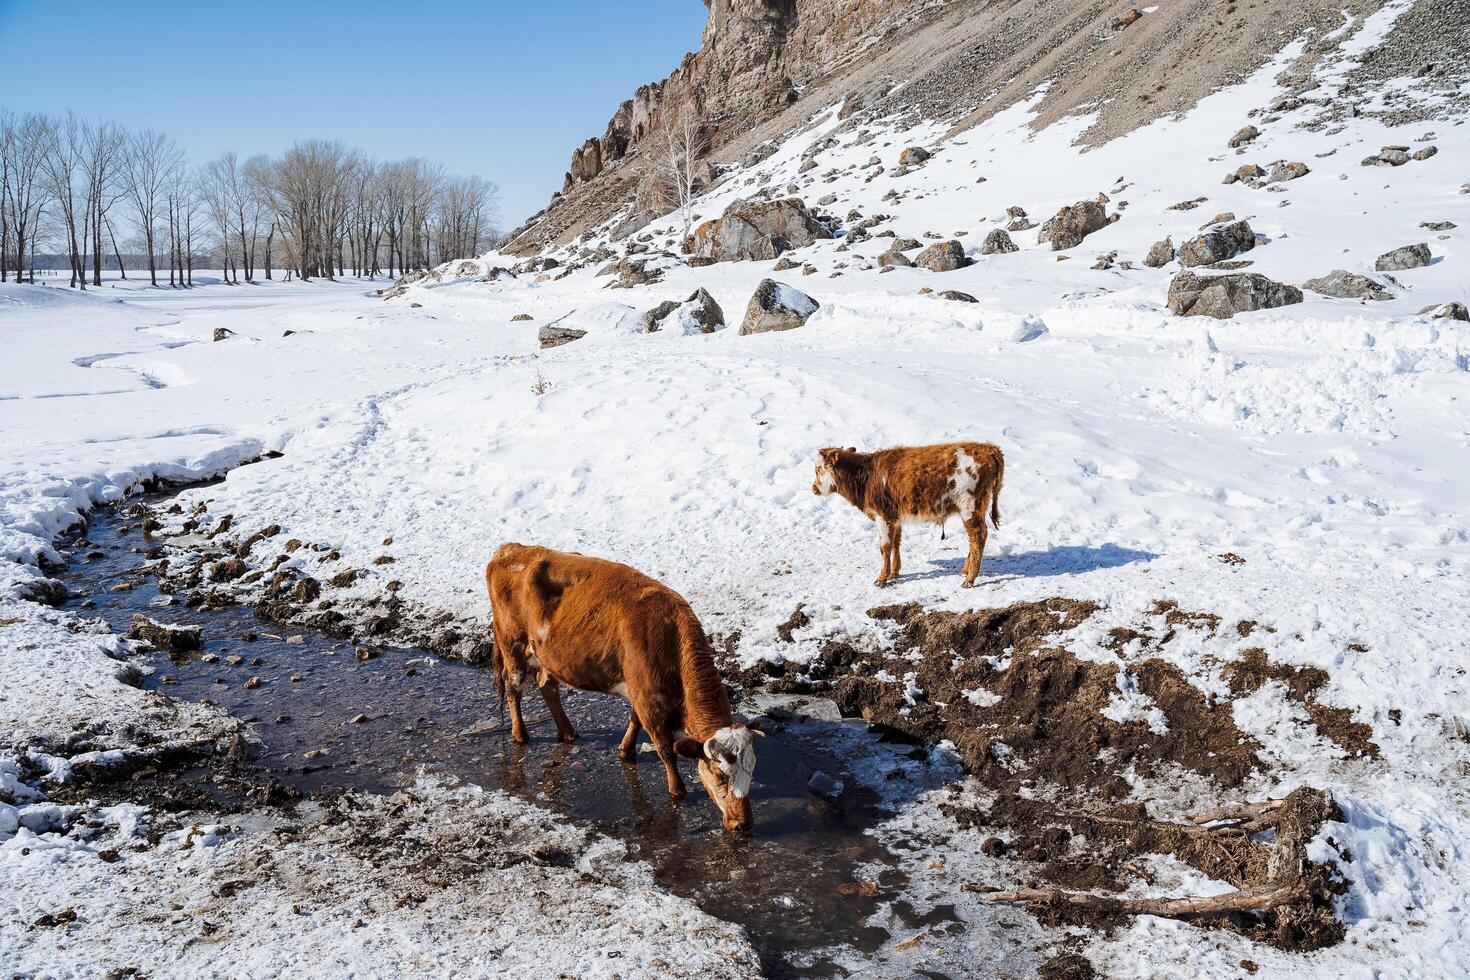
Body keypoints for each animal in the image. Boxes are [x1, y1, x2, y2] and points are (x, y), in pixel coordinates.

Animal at [488, 543, 764, 828]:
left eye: (751, 772)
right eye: (720, 776)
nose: (743, 823)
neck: (670, 640)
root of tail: (514, 549)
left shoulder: (640, 692)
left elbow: (635, 721)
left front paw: (626, 749)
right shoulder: (648, 700)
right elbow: (665, 748)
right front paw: (677, 790)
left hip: (545, 654)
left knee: (546, 685)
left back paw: (567, 731)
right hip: (512, 643)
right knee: (513, 688)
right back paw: (520, 734)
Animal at [811, 443, 1005, 590]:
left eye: (818, 469)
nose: (814, 488)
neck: (866, 476)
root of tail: (988, 447)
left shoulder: (882, 516)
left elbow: (885, 547)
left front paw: (882, 578)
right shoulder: (894, 517)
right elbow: (896, 542)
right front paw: (894, 572)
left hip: (970, 506)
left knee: (978, 536)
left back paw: (969, 579)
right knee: (974, 539)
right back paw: (965, 571)